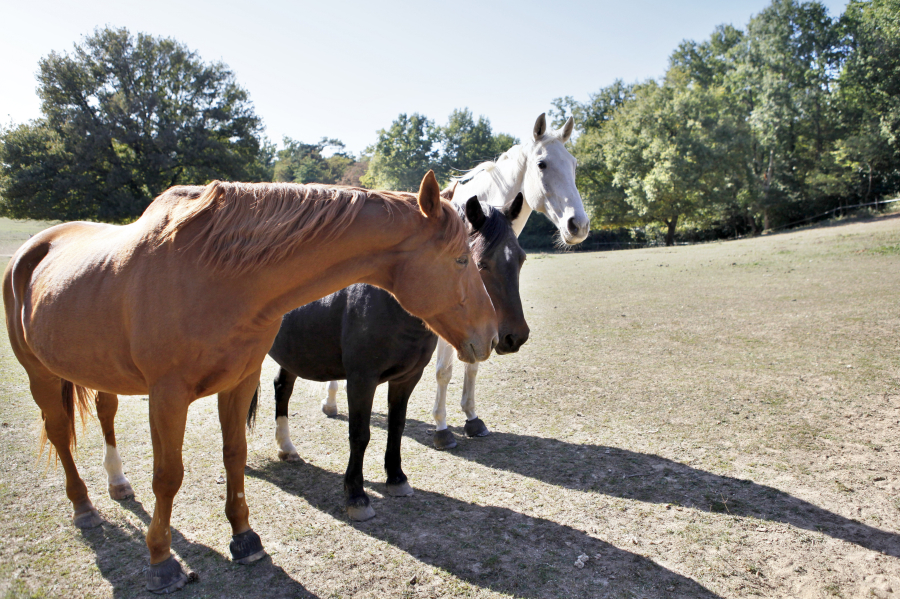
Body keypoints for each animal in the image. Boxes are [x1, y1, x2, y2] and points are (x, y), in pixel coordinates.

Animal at [3, 171, 496, 592]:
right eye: (460, 259)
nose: (491, 336)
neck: (215, 273)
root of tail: (35, 247)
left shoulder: (238, 382)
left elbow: (234, 455)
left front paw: (244, 538)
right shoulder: (167, 396)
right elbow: (168, 476)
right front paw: (161, 561)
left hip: (101, 371)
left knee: (105, 414)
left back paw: (117, 483)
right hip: (40, 374)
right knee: (59, 434)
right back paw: (84, 506)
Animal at [253, 196, 532, 520]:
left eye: (521, 259)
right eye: (480, 263)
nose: (515, 337)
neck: (387, 298)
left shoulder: (406, 378)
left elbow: (396, 427)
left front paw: (396, 478)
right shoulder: (361, 380)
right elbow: (359, 434)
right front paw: (356, 495)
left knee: (282, 389)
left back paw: (287, 447)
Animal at [320, 112, 588, 450]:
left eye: (574, 164)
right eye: (542, 164)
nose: (578, 224)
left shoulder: (483, 323)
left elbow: (473, 365)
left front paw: (472, 419)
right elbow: (444, 372)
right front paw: (442, 428)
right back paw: (330, 401)